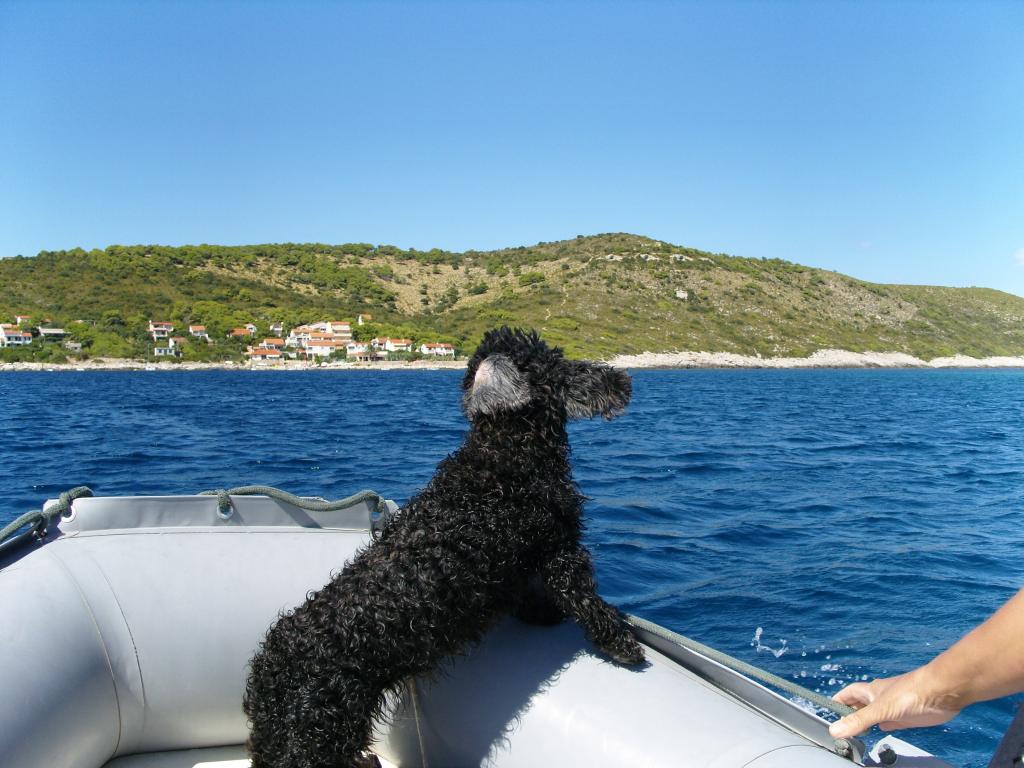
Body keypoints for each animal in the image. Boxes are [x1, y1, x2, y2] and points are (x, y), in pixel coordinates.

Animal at [244, 326, 645, 767]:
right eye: (557, 366)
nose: (624, 380)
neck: (506, 454)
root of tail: (268, 673)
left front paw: (541, 616)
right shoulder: (560, 551)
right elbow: (586, 600)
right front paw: (623, 645)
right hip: (318, 735)